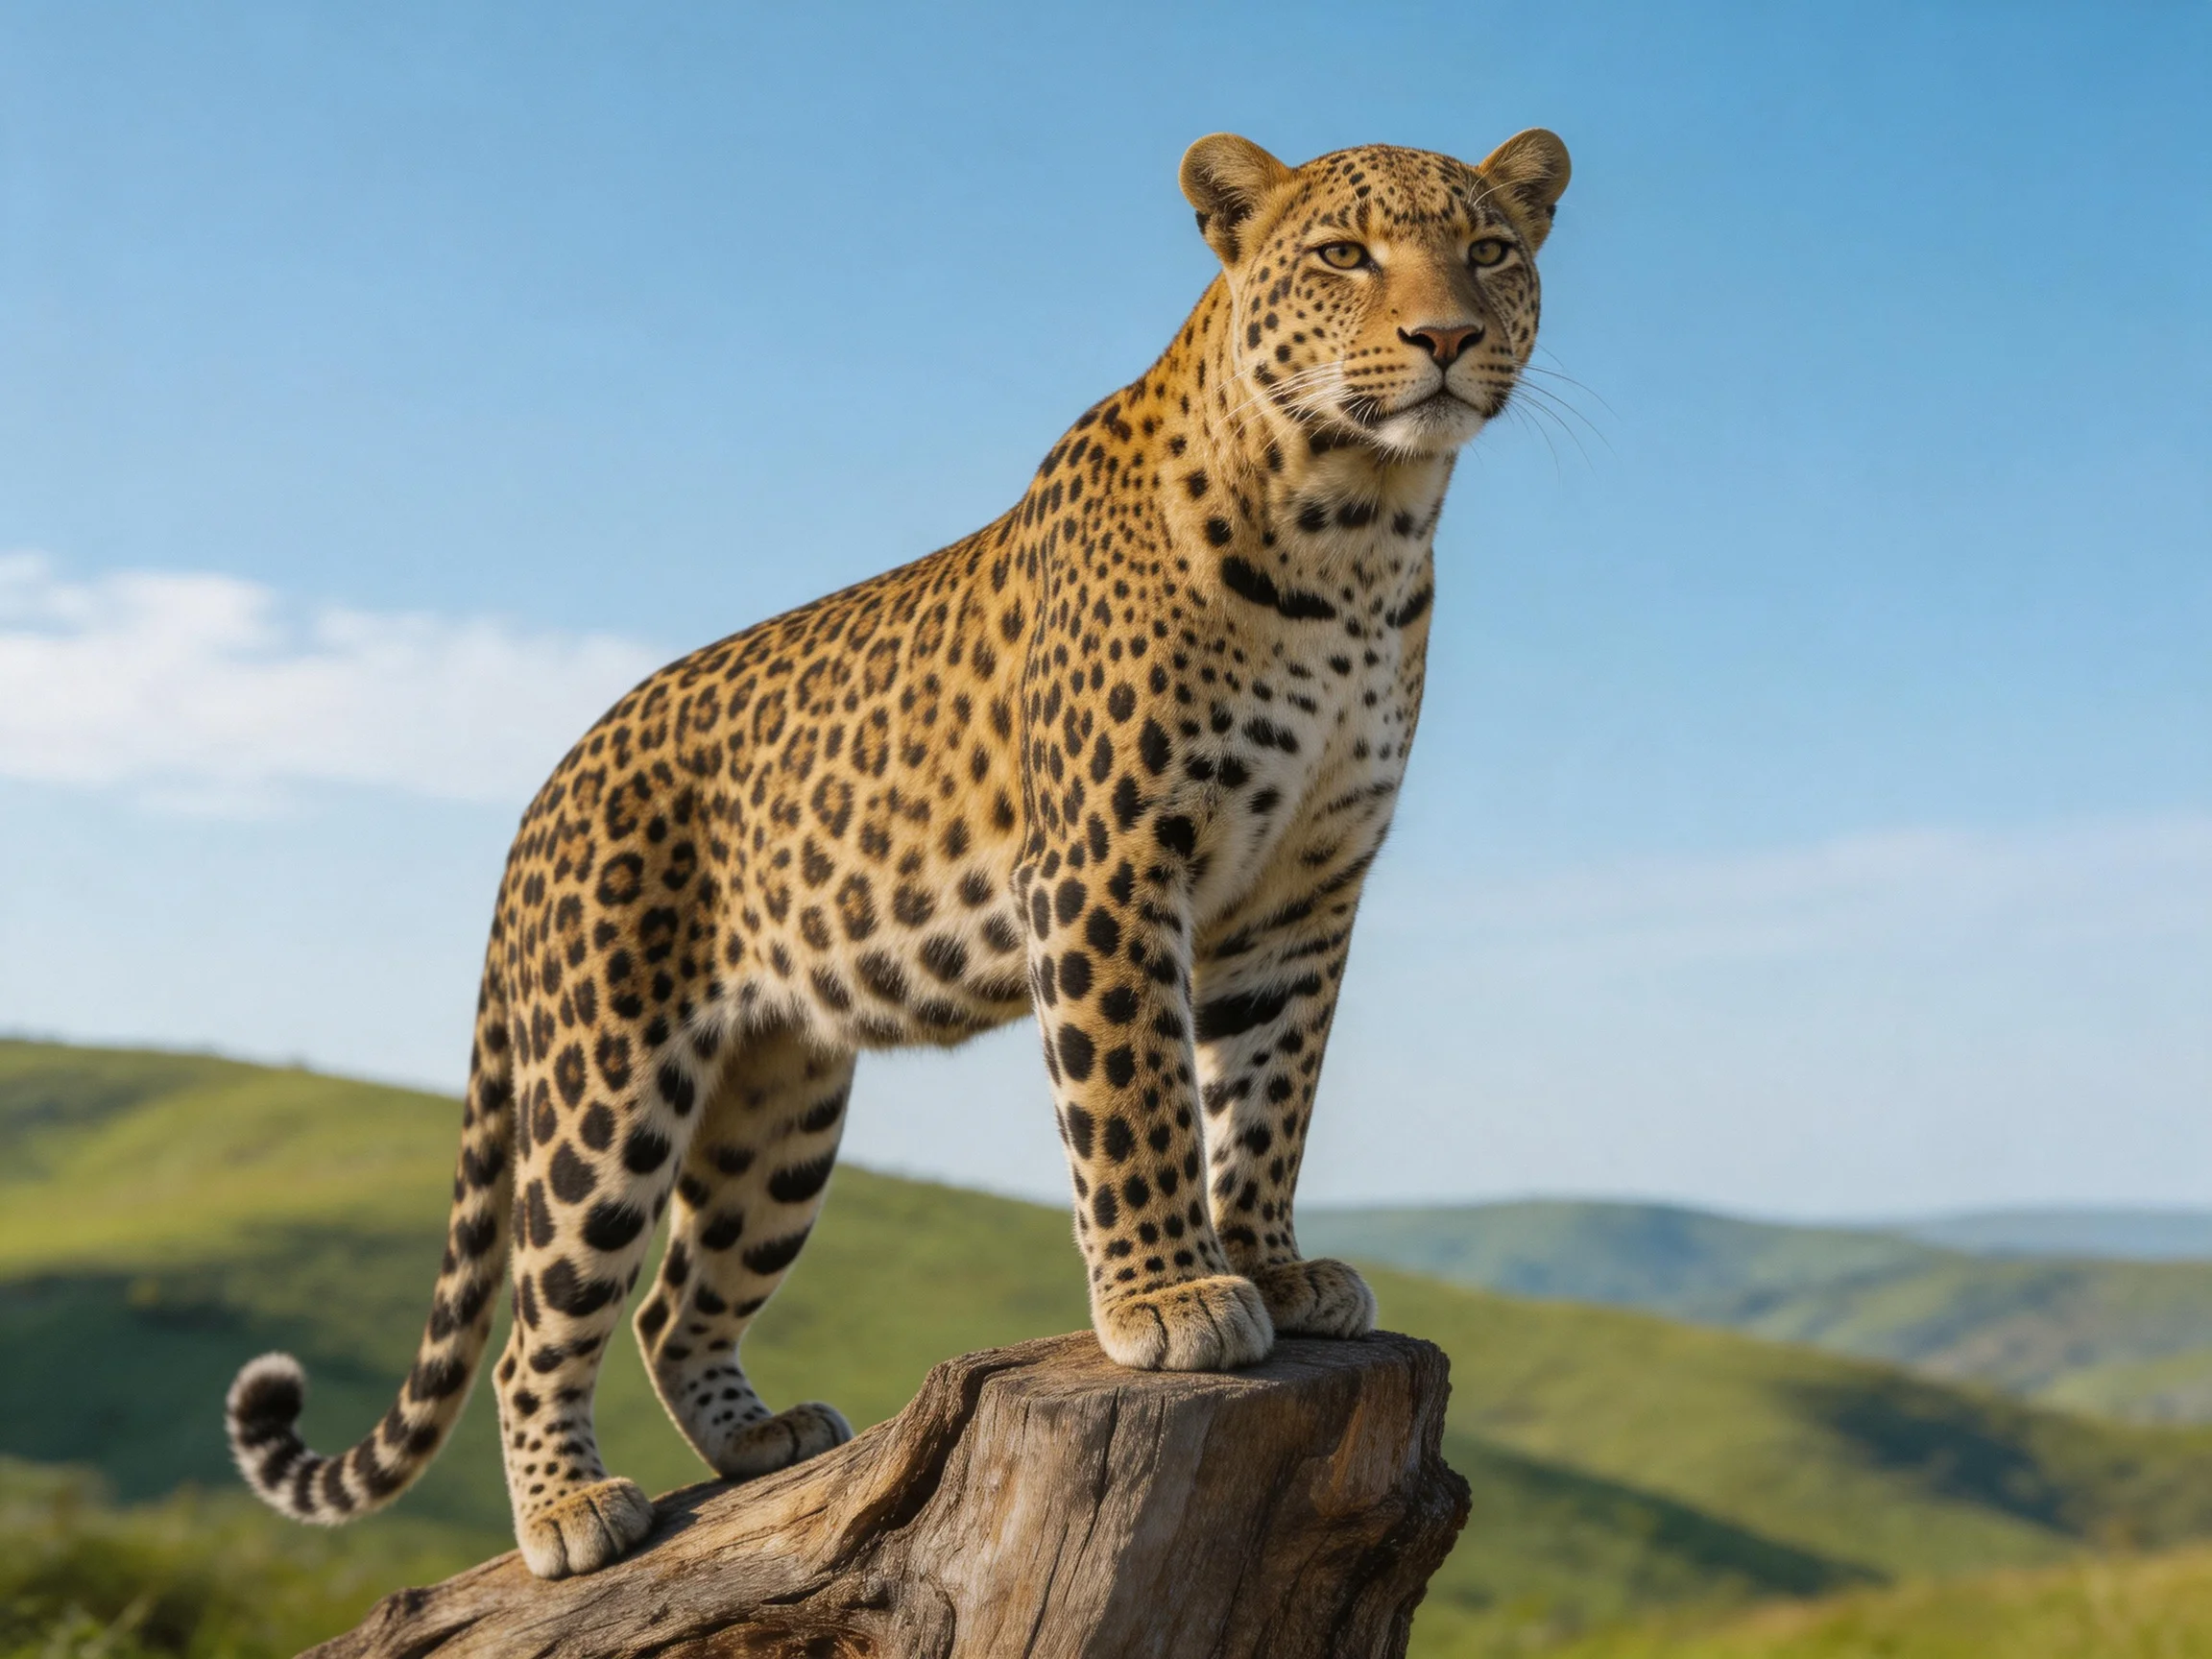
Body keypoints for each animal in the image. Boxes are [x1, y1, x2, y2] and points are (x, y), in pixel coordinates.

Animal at [225, 127, 1571, 1579]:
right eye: (1343, 255)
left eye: (1490, 251)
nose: (1446, 336)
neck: (1358, 530)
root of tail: (546, 788)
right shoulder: (1108, 863)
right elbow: (1139, 1093)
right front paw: (1172, 1294)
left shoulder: (1301, 896)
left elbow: (1266, 1099)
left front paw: (1271, 1265)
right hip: (603, 1079)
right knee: (544, 1315)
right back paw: (569, 1512)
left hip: (780, 1110)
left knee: (673, 1304)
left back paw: (758, 1439)